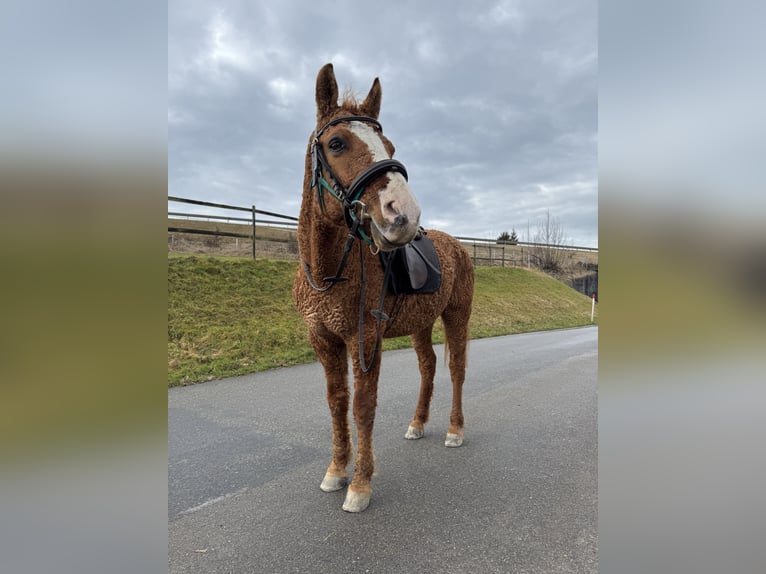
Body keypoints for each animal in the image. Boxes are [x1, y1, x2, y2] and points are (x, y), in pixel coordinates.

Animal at [293, 63, 474, 512]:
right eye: (336, 143)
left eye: (388, 144)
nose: (403, 214)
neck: (328, 272)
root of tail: (456, 246)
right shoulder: (324, 341)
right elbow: (337, 404)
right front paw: (336, 470)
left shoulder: (365, 339)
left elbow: (362, 408)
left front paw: (360, 484)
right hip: (421, 323)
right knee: (428, 366)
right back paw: (418, 422)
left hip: (457, 316)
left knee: (456, 370)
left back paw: (454, 430)